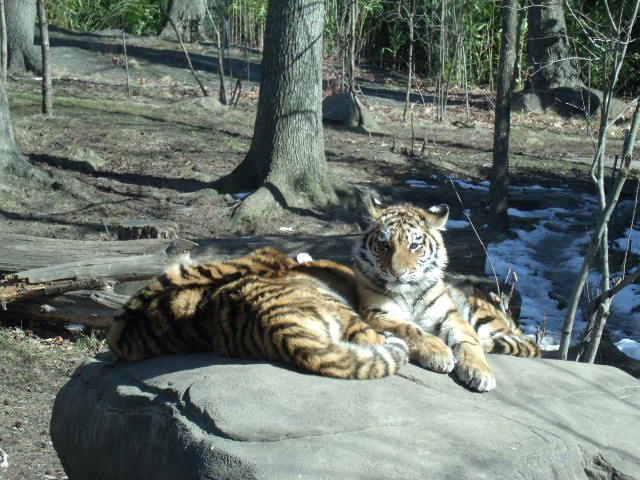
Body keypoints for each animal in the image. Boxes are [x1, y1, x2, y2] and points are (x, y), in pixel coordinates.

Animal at [354, 202, 540, 392]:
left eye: (414, 245)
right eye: (384, 244)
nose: (397, 273)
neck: (409, 292)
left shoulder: (450, 317)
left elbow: (469, 341)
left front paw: (481, 372)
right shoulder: (376, 314)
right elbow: (408, 327)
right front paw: (438, 351)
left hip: (481, 316)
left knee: (527, 343)